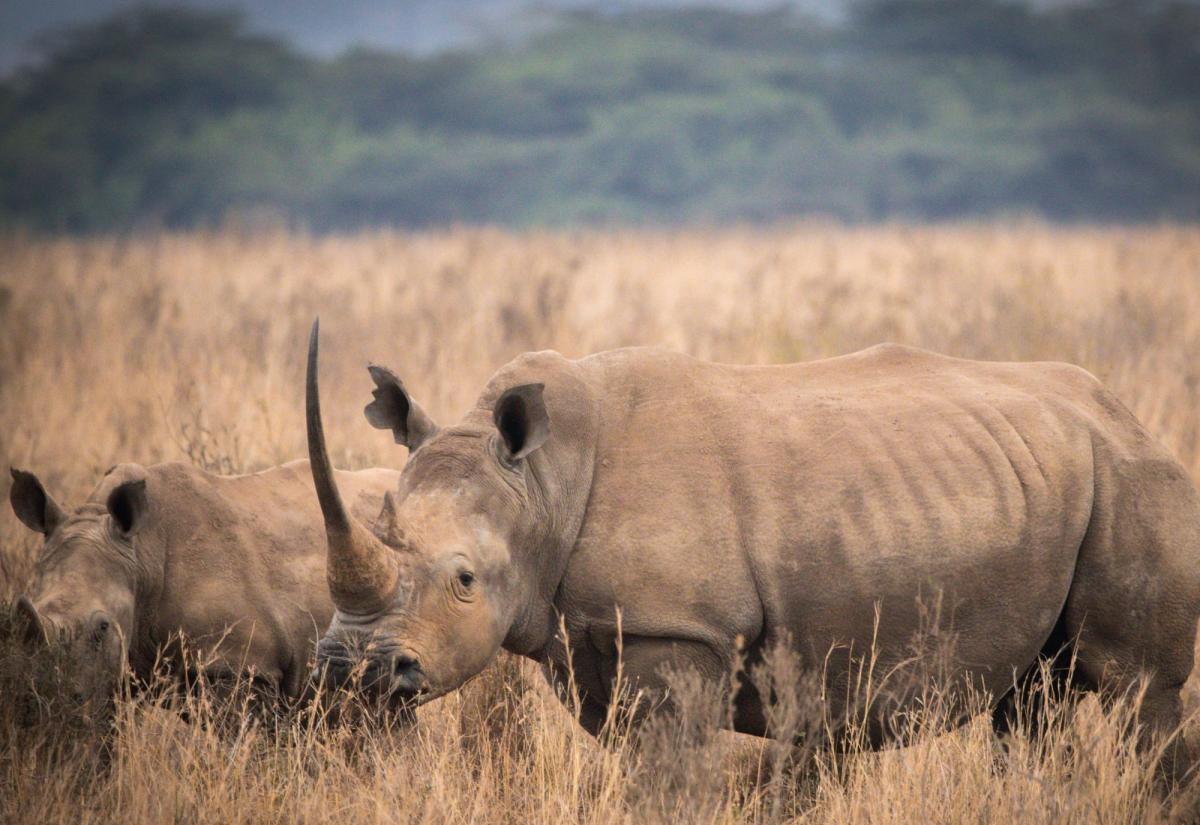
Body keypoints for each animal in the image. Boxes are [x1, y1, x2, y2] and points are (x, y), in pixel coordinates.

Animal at [305, 322, 1200, 770]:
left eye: (463, 578)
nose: (352, 669)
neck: (543, 486)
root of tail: (1128, 416)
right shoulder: (596, 637)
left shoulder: (678, 628)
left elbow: (665, 781)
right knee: (1032, 702)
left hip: (1131, 477)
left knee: (1137, 695)